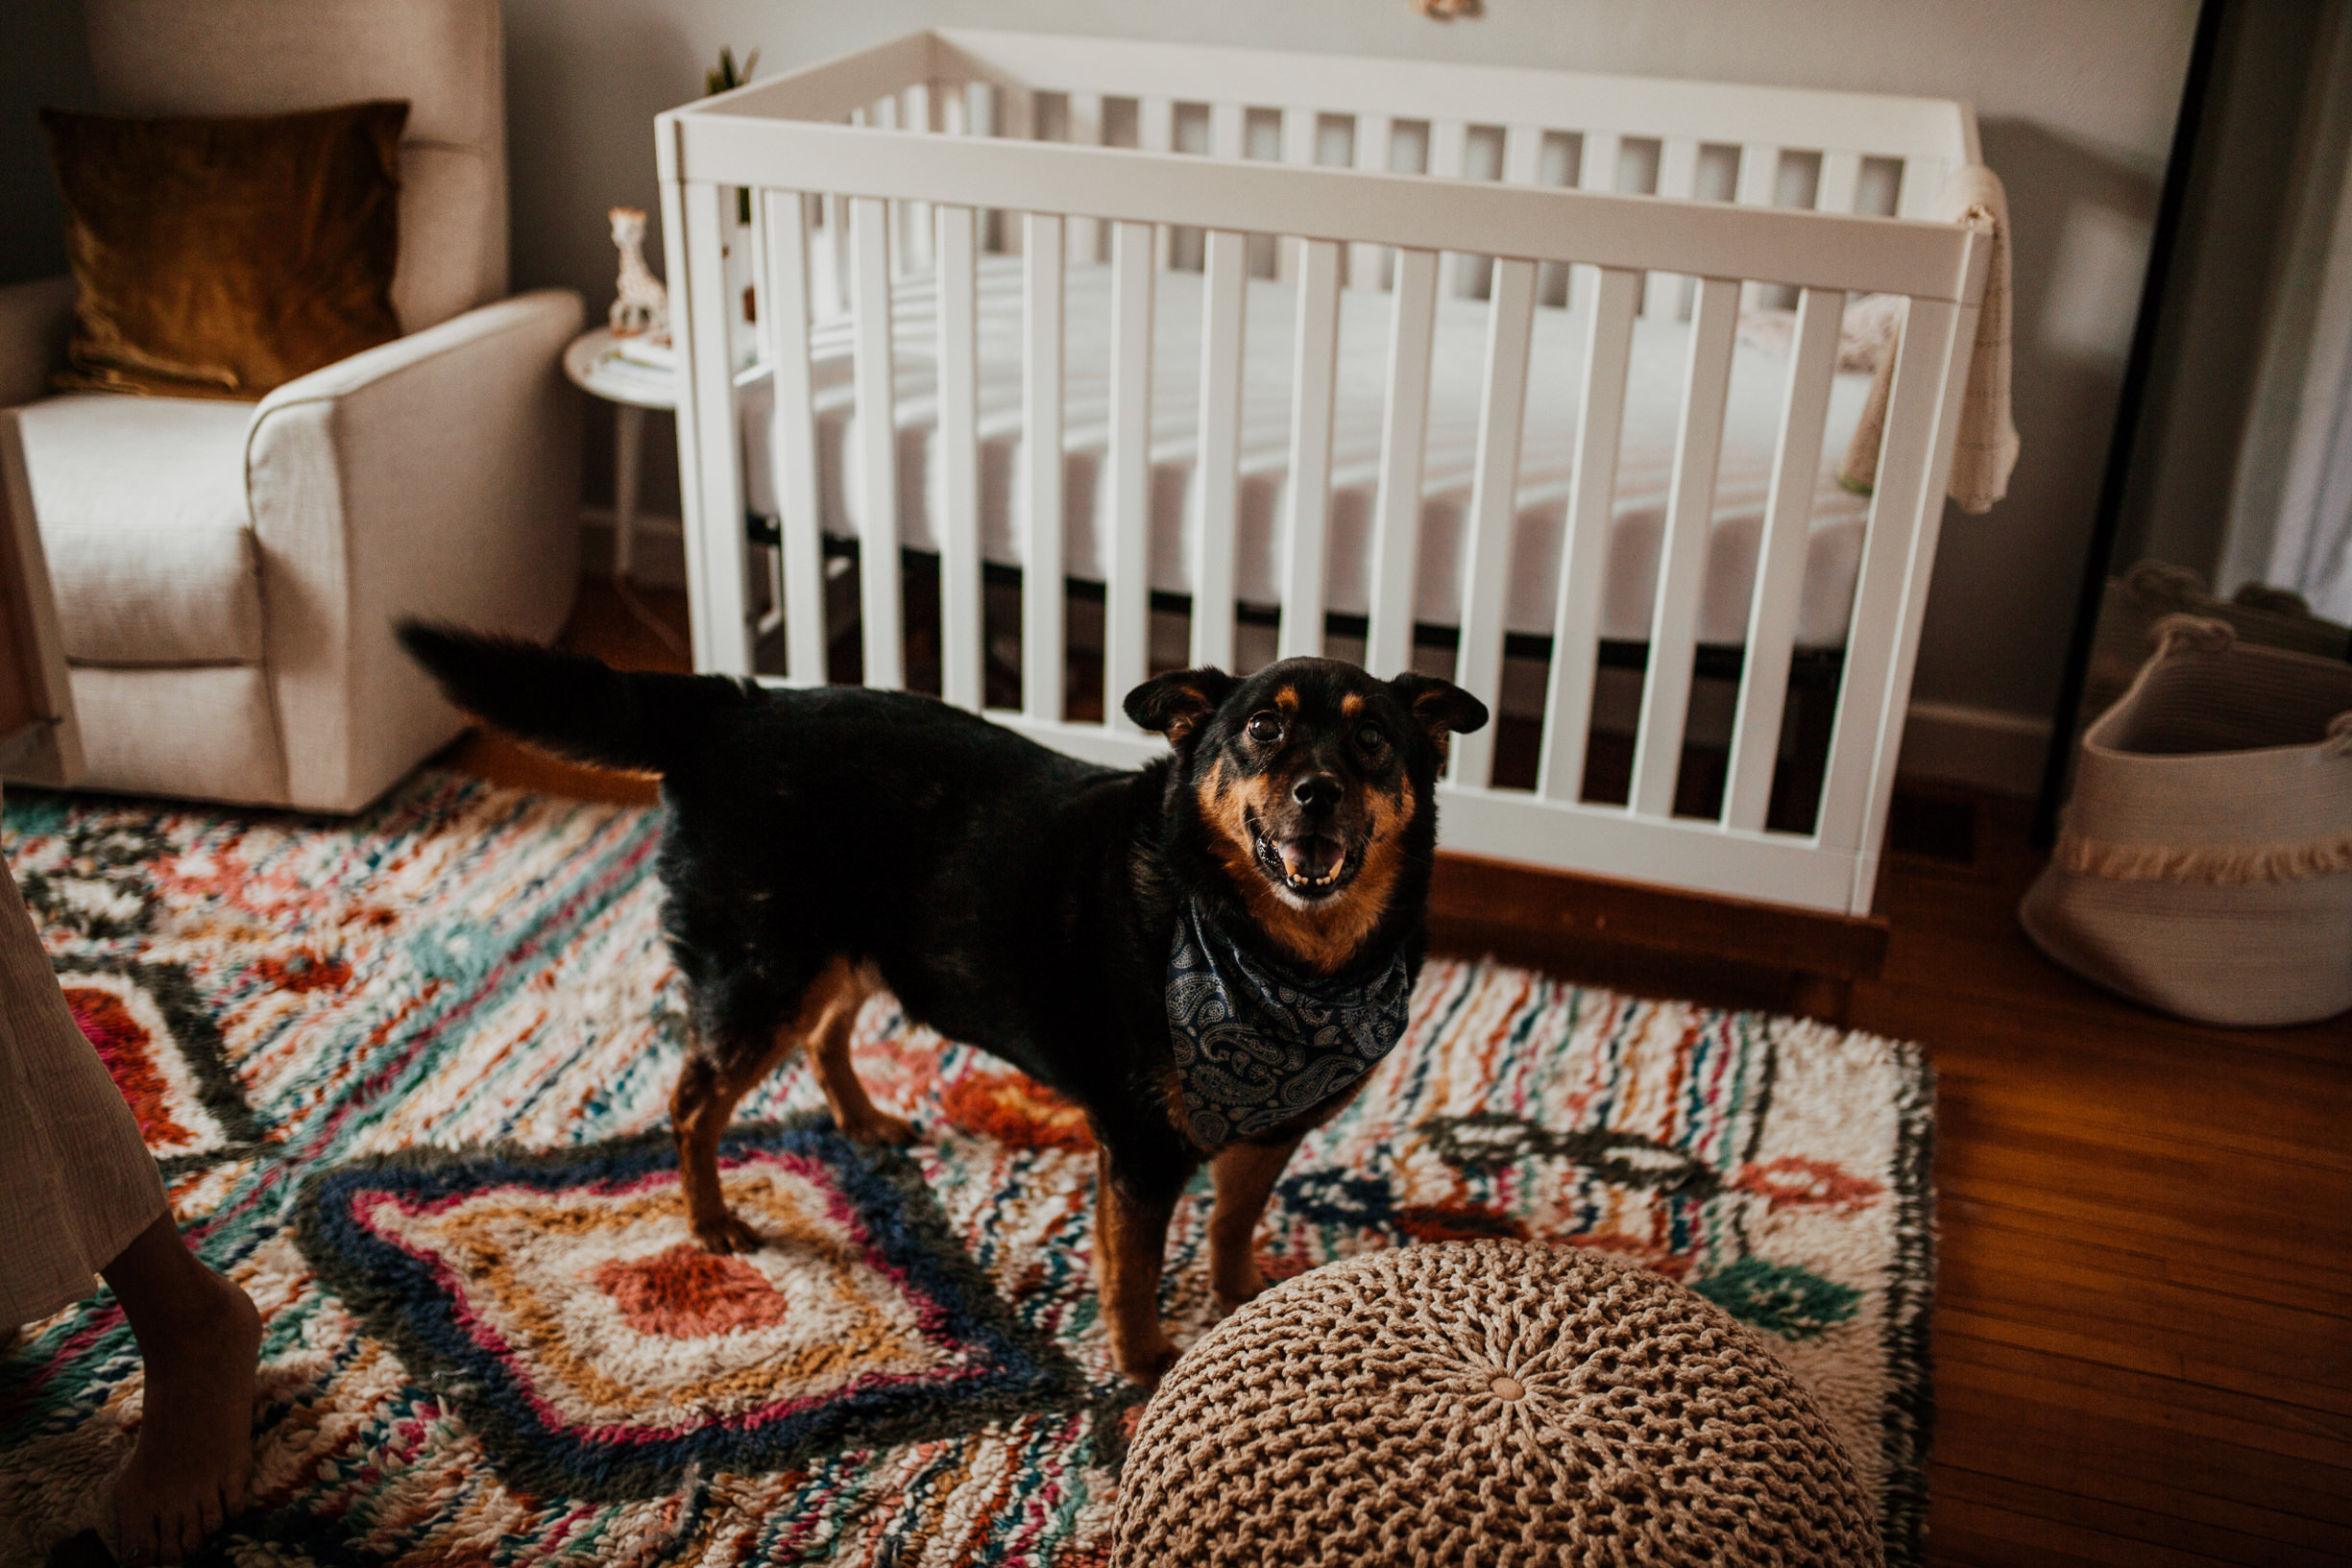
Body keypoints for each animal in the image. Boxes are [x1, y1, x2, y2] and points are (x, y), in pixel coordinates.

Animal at [395, 625, 1476, 1382]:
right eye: (1263, 728)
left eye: (1373, 738)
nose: (1318, 791)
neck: (1288, 961)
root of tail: (734, 707)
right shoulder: (1138, 1151)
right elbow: (1131, 1272)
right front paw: (1142, 1365)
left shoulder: (1271, 1132)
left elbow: (1232, 1226)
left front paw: (1244, 1299)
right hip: (762, 971)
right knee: (692, 1100)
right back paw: (710, 1222)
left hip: (850, 954)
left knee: (824, 1039)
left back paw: (862, 1120)